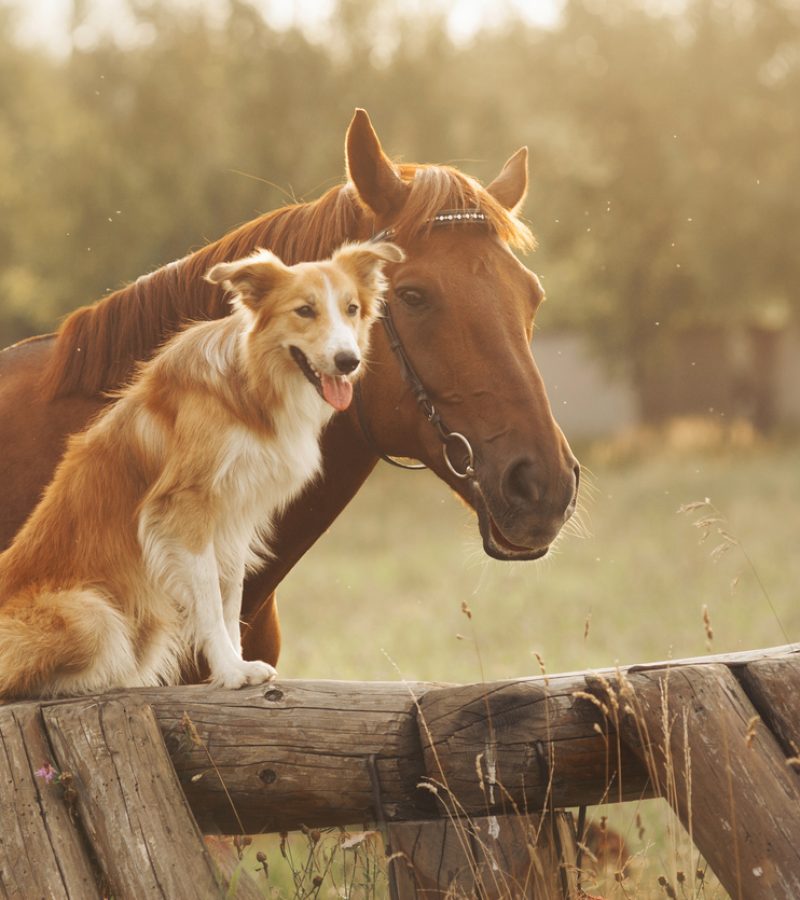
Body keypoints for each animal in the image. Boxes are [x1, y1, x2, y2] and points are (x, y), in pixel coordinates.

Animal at [0, 239, 400, 696]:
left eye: (352, 309)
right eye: (304, 310)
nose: (349, 360)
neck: (251, 386)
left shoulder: (234, 517)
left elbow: (230, 597)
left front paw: (237, 663)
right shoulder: (184, 511)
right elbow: (208, 600)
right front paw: (231, 671)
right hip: (93, 614)